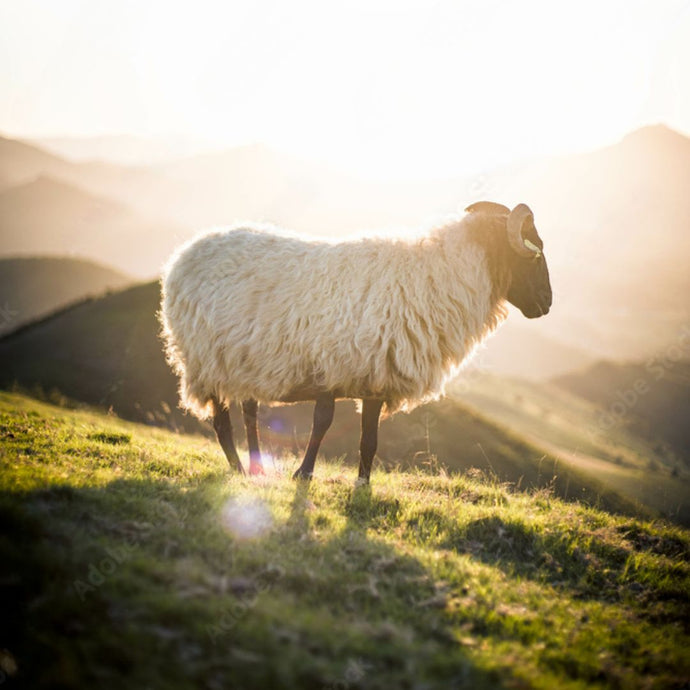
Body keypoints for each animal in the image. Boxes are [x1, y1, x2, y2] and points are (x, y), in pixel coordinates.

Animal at [159, 199, 552, 478]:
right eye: (535, 252)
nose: (547, 304)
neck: (438, 276)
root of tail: (183, 255)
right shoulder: (332, 366)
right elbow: (322, 423)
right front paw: (304, 474)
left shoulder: (376, 377)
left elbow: (369, 440)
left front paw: (363, 483)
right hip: (206, 359)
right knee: (223, 423)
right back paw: (239, 469)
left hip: (242, 363)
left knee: (250, 414)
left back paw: (256, 468)